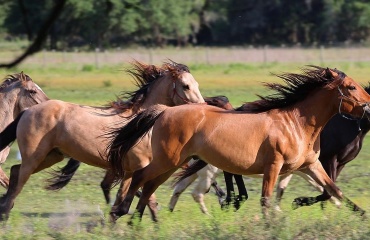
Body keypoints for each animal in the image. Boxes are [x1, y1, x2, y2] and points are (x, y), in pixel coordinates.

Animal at [0, 60, 204, 221]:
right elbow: (146, 200)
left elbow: (128, 199)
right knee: (18, 182)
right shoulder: (139, 167)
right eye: (185, 86)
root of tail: (28, 111)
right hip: (34, 157)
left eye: (197, 84)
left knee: (15, 171)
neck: (139, 124)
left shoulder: (129, 170)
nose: (202, 108)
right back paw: (6, 214)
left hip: (51, 156)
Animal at [107, 65, 370, 221]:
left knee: (150, 185)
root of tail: (164, 110)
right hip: (166, 160)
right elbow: (265, 199)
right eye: (351, 87)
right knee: (141, 177)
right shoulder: (273, 166)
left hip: (173, 163)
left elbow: (334, 190)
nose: (368, 104)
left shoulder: (312, 165)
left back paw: (135, 222)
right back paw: (121, 212)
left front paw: (362, 215)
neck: (295, 123)